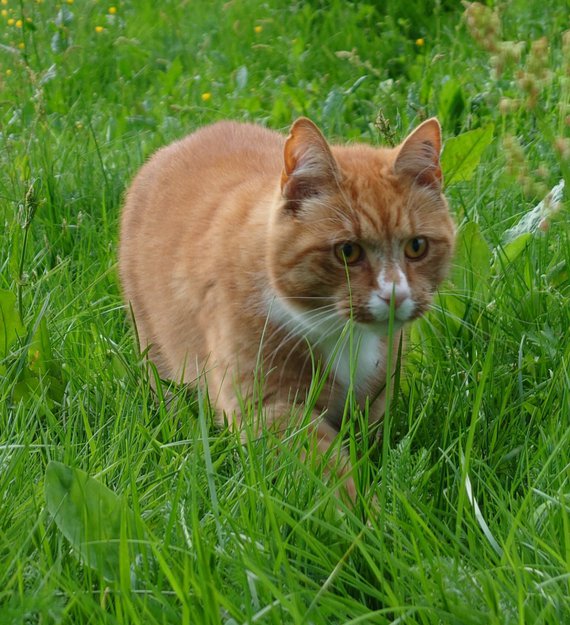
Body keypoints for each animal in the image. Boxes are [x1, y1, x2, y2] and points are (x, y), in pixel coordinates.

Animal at [119, 116, 455, 500]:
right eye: (347, 251)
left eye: (416, 246)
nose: (395, 294)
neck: (343, 334)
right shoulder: (271, 407)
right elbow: (329, 473)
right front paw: (365, 511)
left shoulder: (377, 395)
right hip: (155, 349)